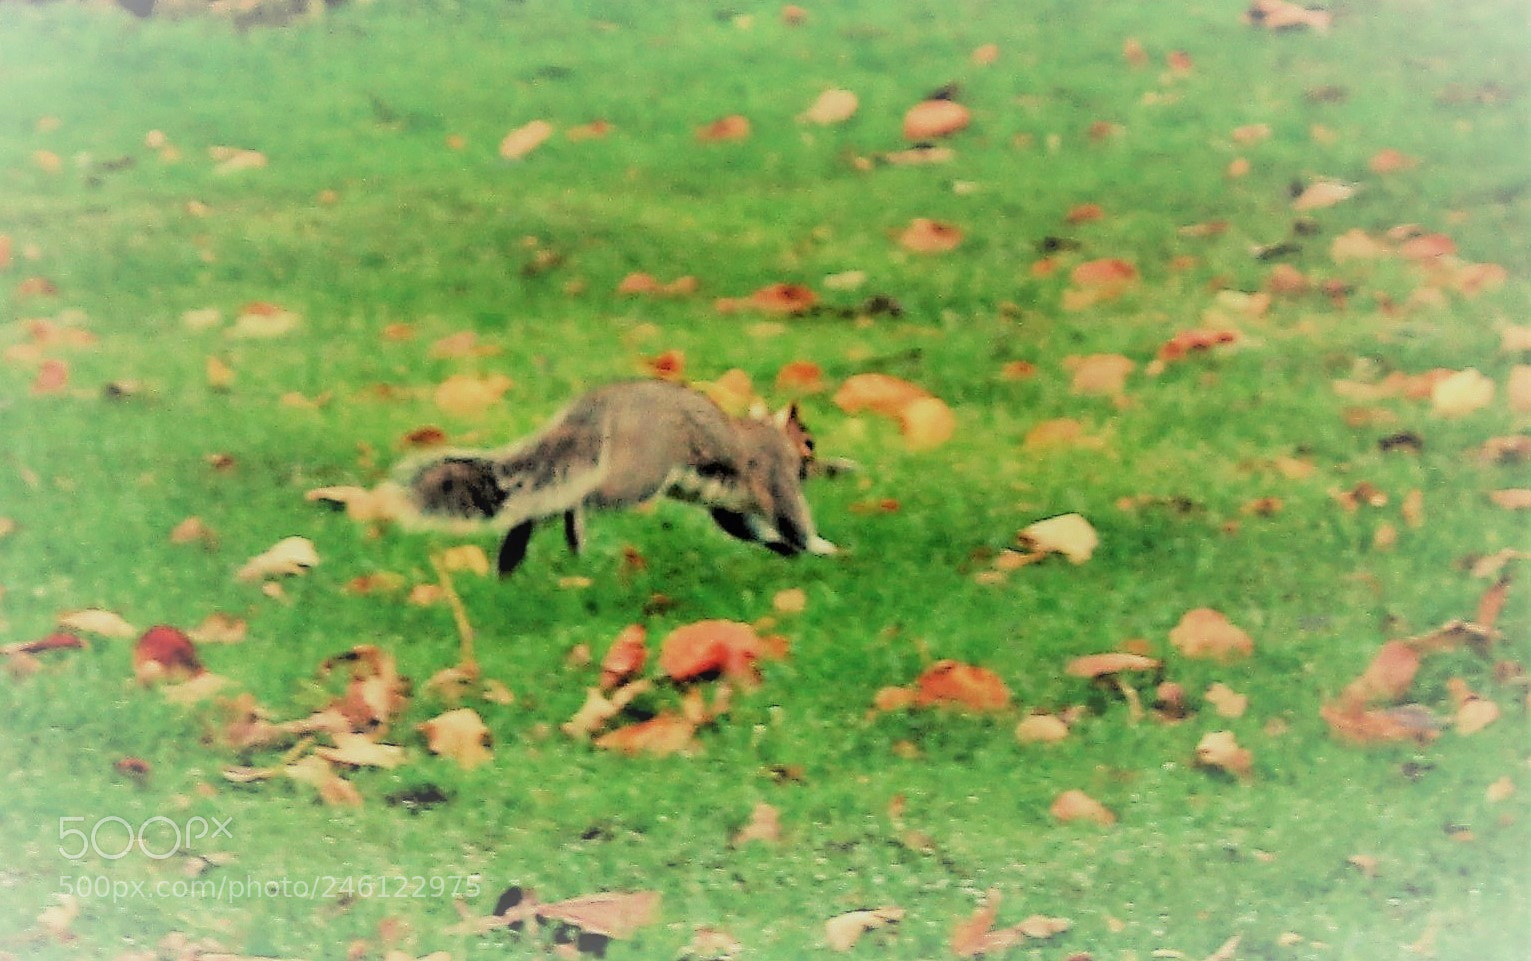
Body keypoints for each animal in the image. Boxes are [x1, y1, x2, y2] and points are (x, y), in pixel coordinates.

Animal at [390, 379, 840, 577]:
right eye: (809, 441)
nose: (816, 466)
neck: (769, 434)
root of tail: (600, 402)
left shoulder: (731, 507)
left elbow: (753, 530)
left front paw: (788, 550)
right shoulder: (775, 475)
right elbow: (793, 516)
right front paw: (821, 547)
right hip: (638, 474)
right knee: (577, 496)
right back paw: (571, 530)